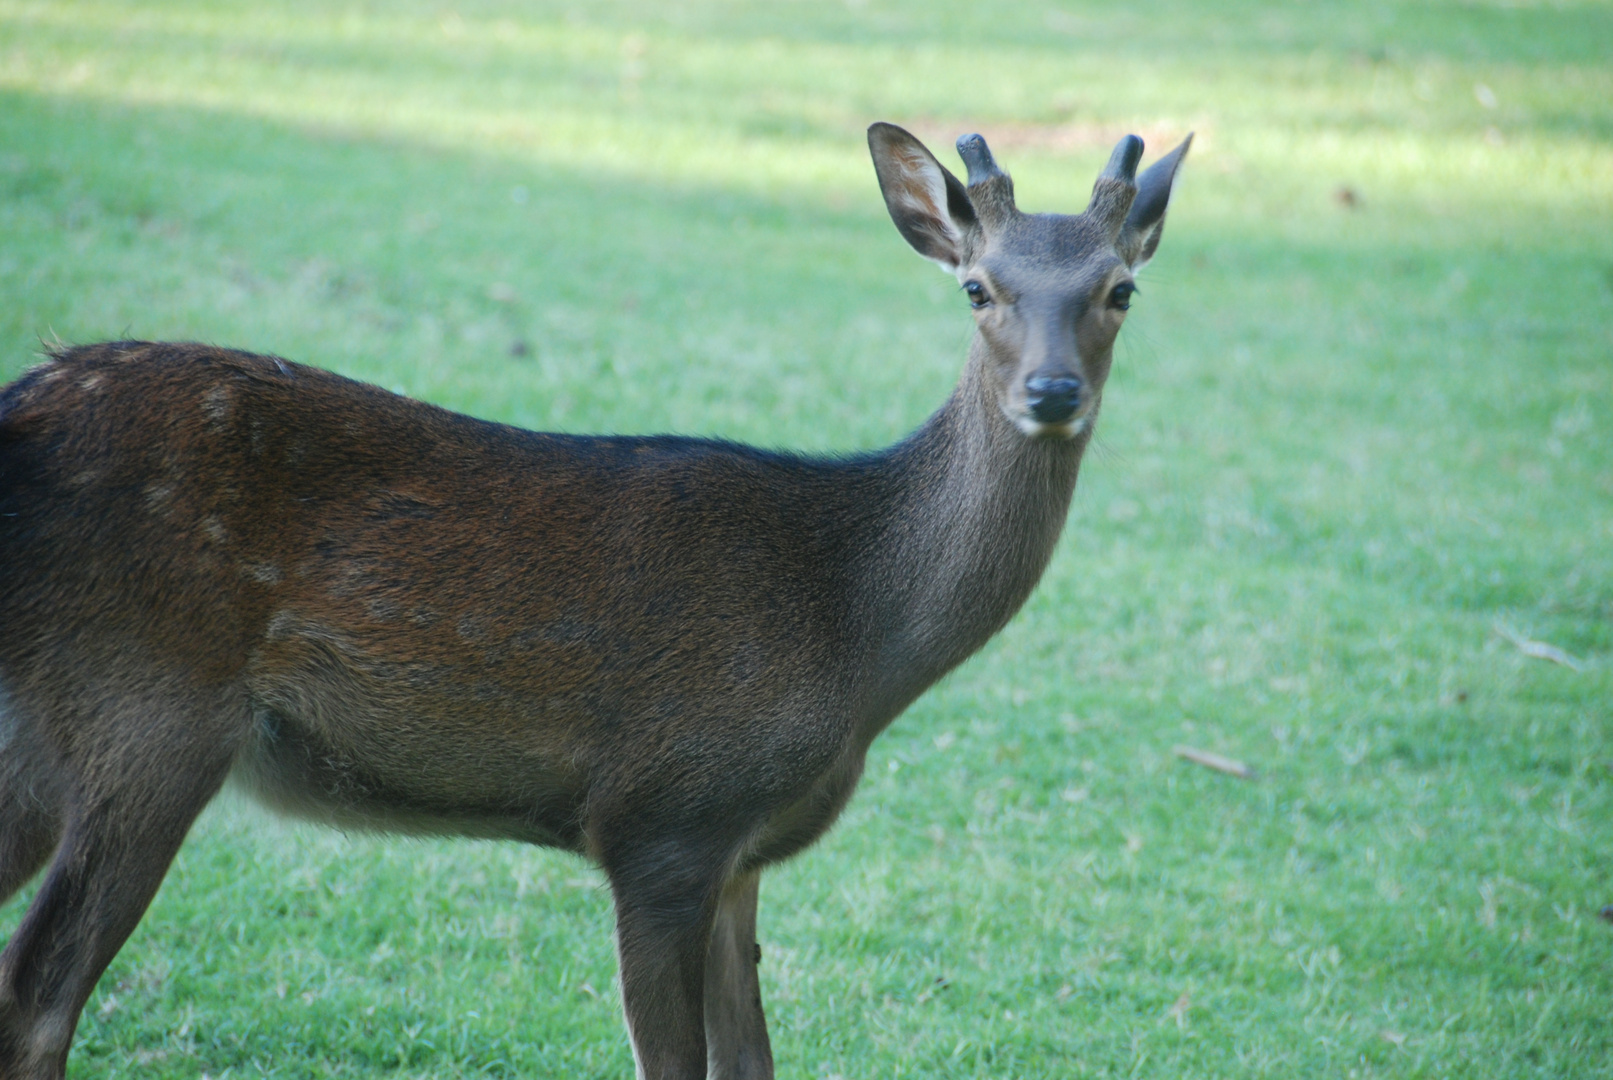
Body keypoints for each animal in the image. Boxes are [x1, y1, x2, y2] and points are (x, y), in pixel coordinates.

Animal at [0, 122, 1187, 1076]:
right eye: (976, 287)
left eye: (1119, 289)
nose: (1050, 391)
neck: (856, 639)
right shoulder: (662, 815)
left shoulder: (738, 851)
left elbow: (753, 1062)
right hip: (145, 713)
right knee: (37, 997)